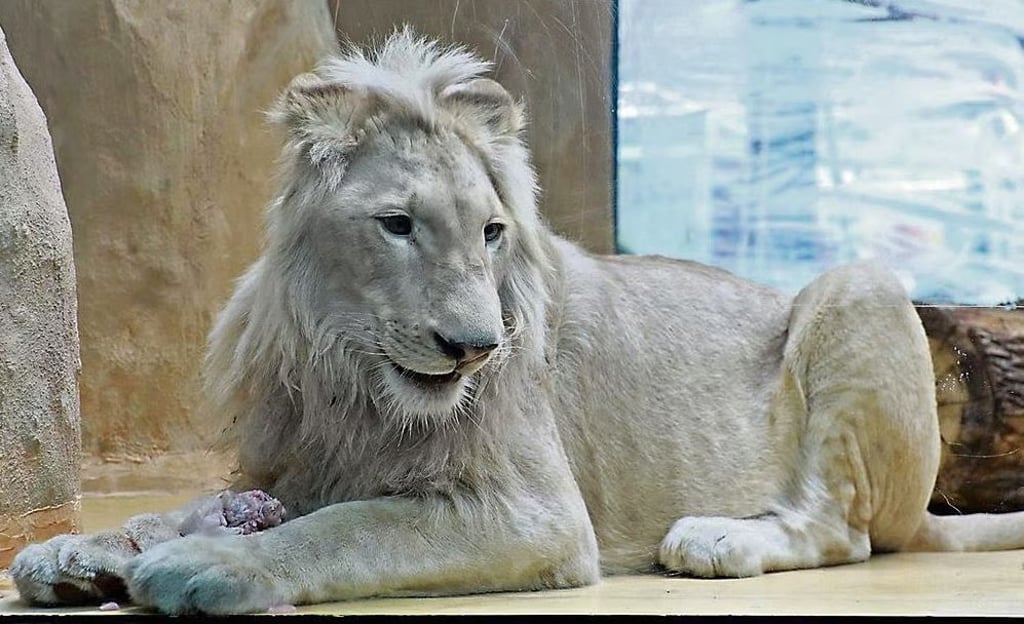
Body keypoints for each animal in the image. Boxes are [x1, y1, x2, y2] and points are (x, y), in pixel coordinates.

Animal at [11, 28, 1024, 615]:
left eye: (492, 232)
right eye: (397, 224)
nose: (474, 348)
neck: (353, 377)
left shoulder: (538, 514)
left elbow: (353, 529)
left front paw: (211, 567)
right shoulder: (295, 463)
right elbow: (186, 509)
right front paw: (72, 551)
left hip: (860, 285)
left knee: (844, 531)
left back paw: (717, 538)